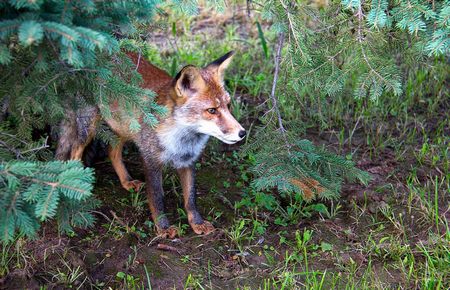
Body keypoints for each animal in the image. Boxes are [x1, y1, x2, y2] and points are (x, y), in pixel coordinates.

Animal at [57, 51, 246, 238]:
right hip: (89, 126)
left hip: (126, 128)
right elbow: (157, 198)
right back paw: (75, 185)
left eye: (228, 105)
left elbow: (191, 198)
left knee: (112, 151)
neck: (181, 140)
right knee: (75, 152)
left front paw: (197, 223)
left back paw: (126, 181)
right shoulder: (151, 161)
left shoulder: (188, 162)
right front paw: (163, 227)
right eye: (212, 110)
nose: (242, 133)